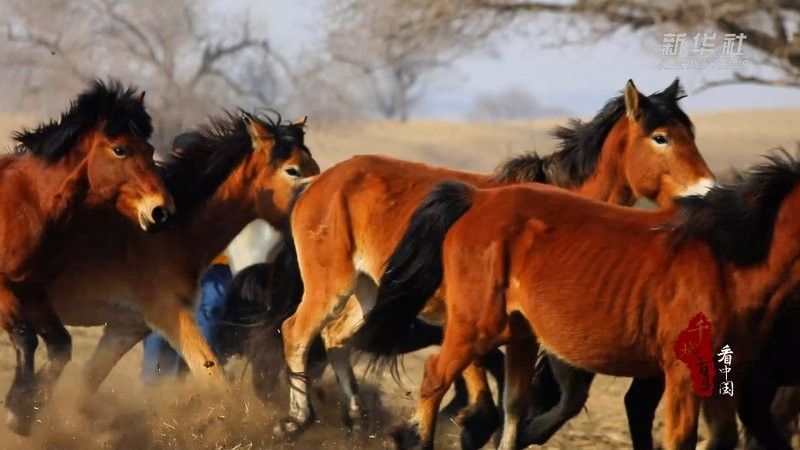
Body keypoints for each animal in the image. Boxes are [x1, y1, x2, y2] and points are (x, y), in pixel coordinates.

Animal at [0, 79, 174, 435]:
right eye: (120, 149)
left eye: (150, 150)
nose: (160, 211)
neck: (28, 204)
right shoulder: (5, 288)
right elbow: (25, 338)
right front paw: (17, 408)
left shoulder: (34, 288)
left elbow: (60, 345)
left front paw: (28, 408)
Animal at [17, 111, 318, 433]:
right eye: (292, 170)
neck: (167, 234)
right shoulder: (169, 313)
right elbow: (213, 376)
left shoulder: (127, 327)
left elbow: (87, 383)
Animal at [272, 78, 714, 443]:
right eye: (660, 137)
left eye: (690, 133)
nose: (706, 191)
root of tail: (318, 181)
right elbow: (484, 398)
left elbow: (555, 399)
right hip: (331, 286)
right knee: (296, 332)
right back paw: (297, 421)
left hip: (368, 293)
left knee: (334, 337)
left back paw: (356, 419)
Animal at [363, 151, 800, 450]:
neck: (730, 258)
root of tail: (478, 198)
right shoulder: (681, 373)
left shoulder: (730, 372)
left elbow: (723, 437)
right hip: (478, 325)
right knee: (435, 376)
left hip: (521, 333)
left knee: (515, 404)